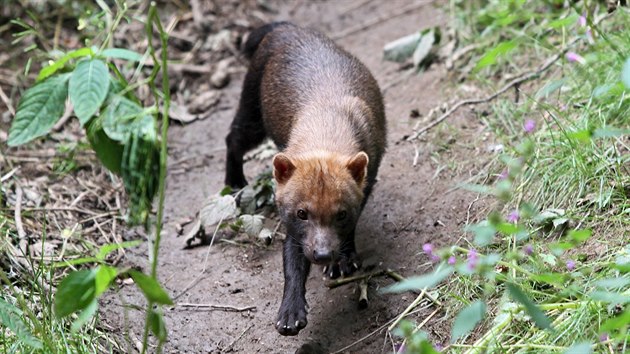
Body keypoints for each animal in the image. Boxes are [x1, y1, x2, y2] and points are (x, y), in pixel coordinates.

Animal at [225, 20, 388, 336]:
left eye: (341, 213)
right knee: (233, 139)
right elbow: (292, 263)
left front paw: (343, 262)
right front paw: (290, 314)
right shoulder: (292, 227)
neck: (327, 119)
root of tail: (285, 27)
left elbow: (351, 230)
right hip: (252, 111)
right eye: (301, 213)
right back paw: (234, 184)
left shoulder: (368, 181)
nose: (323, 254)